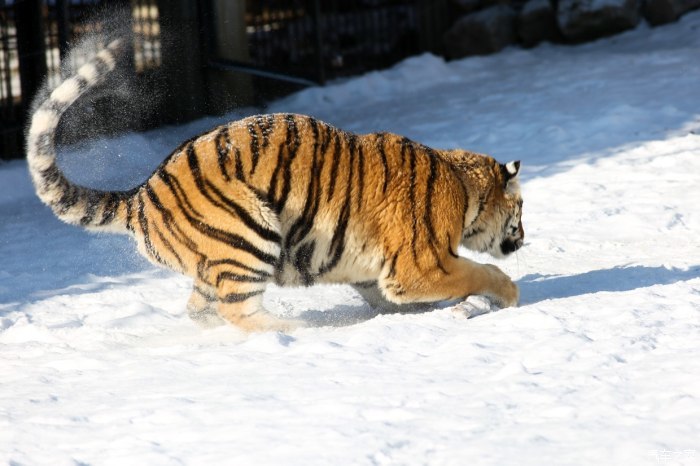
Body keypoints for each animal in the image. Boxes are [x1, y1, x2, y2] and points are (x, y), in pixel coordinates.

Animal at [27, 38, 524, 334]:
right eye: (520, 213)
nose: (524, 239)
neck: (464, 186)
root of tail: (142, 193)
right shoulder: (420, 266)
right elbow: (482, 272)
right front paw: (509, 295)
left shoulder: (378, 275)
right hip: (247, 232)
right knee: (238, 309)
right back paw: (298, 332)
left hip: (213, 262)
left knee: (202, 309)